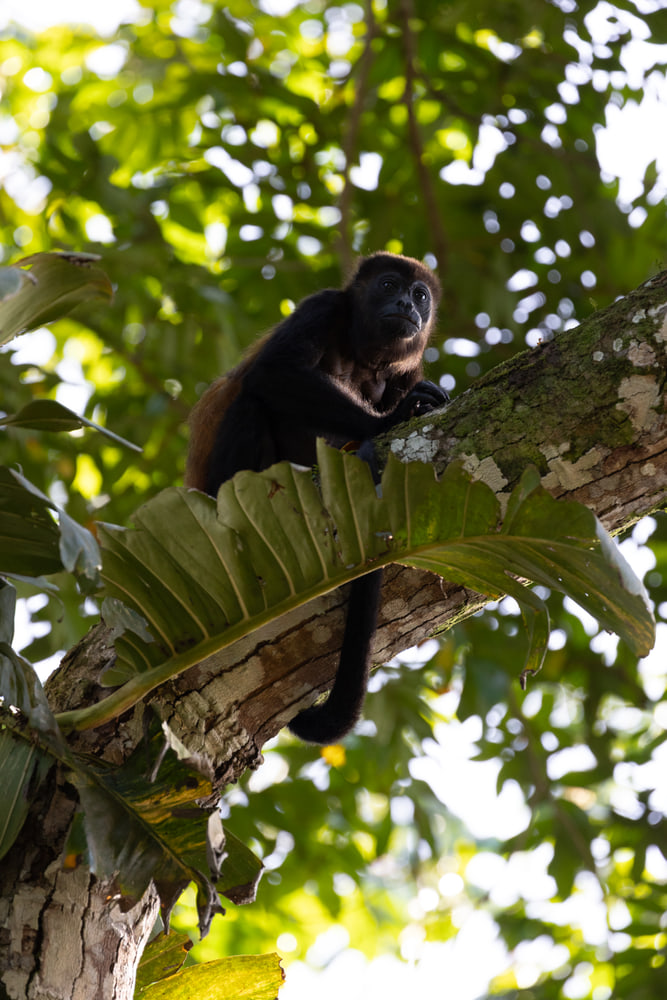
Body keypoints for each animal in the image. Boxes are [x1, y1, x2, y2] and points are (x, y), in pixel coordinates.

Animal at [185, 252, 448, 744]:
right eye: (388, 285)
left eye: (420, 295)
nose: (407, 304)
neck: (366, 356)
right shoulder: (321, 307)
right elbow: (273, 372)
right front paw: (390, 420)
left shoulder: (409, 369)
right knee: (251, 401)